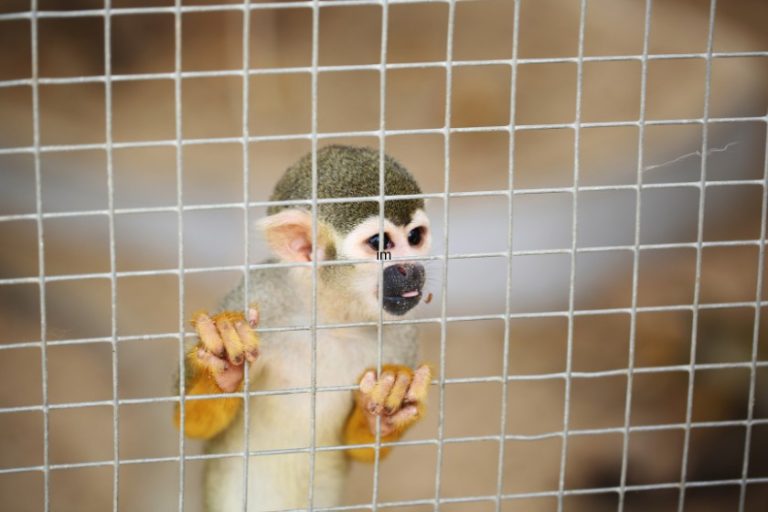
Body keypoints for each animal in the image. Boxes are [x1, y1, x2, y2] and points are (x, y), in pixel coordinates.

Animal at [173, 145, 433, 512]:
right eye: (380, 242)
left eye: (415, 237)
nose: (413, 270)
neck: (329, 317)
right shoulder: (259, 293)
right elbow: (191, 422)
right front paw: (221, 366)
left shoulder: (403, 336)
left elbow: (362, 449)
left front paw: (388, 406)